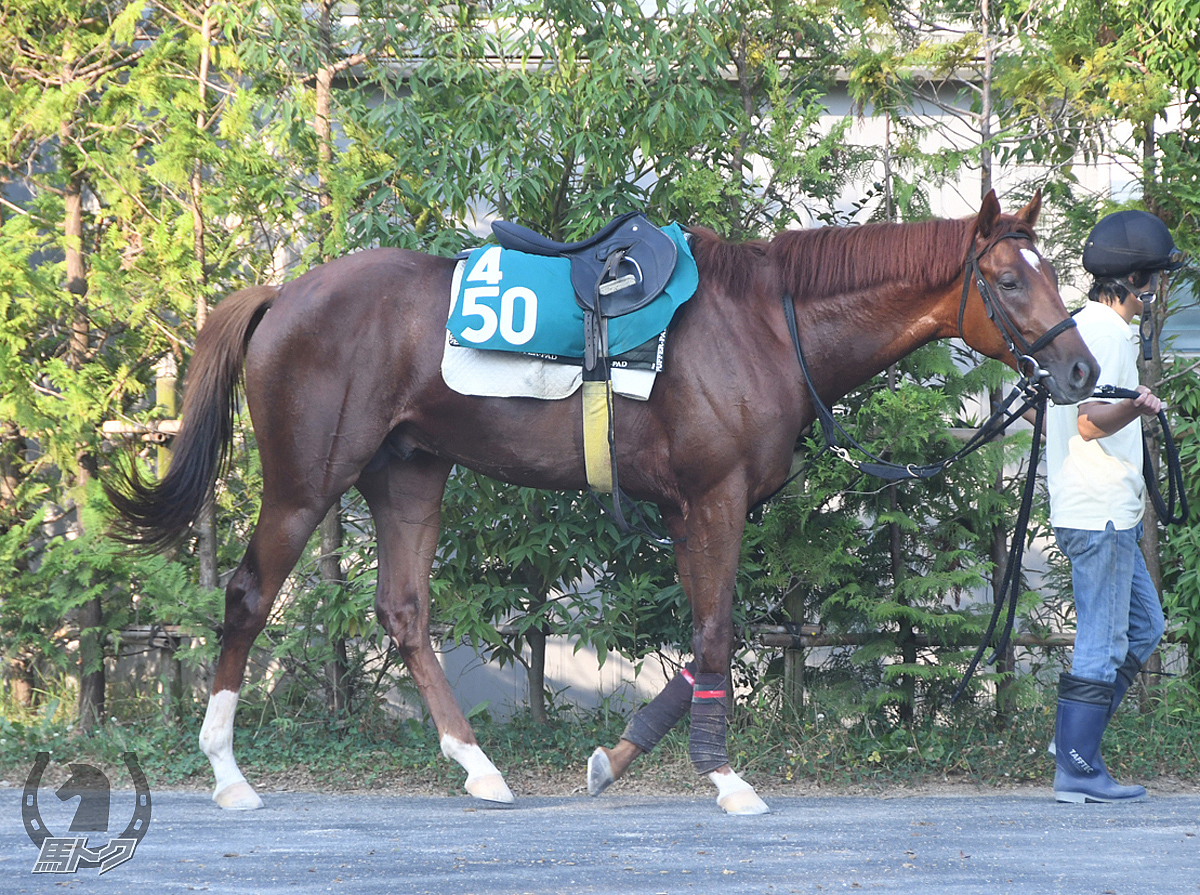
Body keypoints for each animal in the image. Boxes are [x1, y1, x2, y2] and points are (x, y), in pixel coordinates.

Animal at [110, 189, 1099, 815]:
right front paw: (725, 777)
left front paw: (617, 759)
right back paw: (228, 772)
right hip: (306, 483)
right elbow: (716, 632)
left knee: (405, 610)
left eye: (1050, 272)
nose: (1083, 370)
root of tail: (285, 293)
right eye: (1012, 279)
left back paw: (478, 766)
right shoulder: (714, 497)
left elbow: (703, 634)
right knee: (248, 596)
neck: (764, 323)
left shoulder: (691, 507)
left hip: (409, 472)